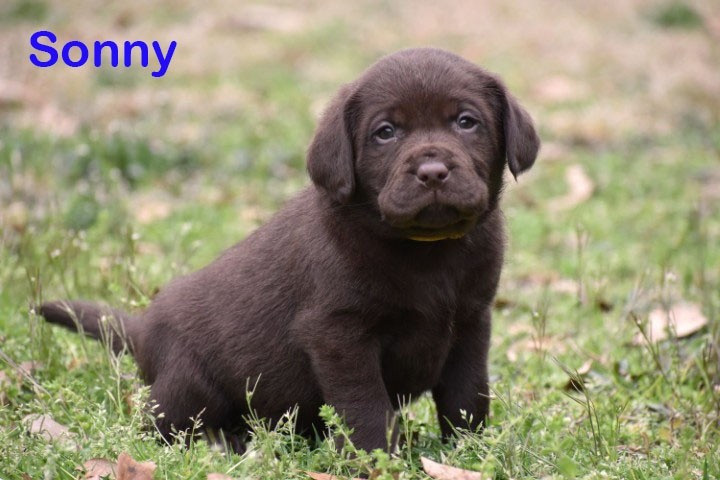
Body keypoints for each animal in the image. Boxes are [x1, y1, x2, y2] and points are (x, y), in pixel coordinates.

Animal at [39, 47, 539, 453]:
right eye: (385, 132)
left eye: (466, 122)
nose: (433, 171)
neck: (426, 251)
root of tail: (142, 331)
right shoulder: (338, 334)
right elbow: (365, 405)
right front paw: (376, 459)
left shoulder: (471, 323)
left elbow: (467, 395)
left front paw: (470, 452)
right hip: (189, 383)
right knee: (159, 425)